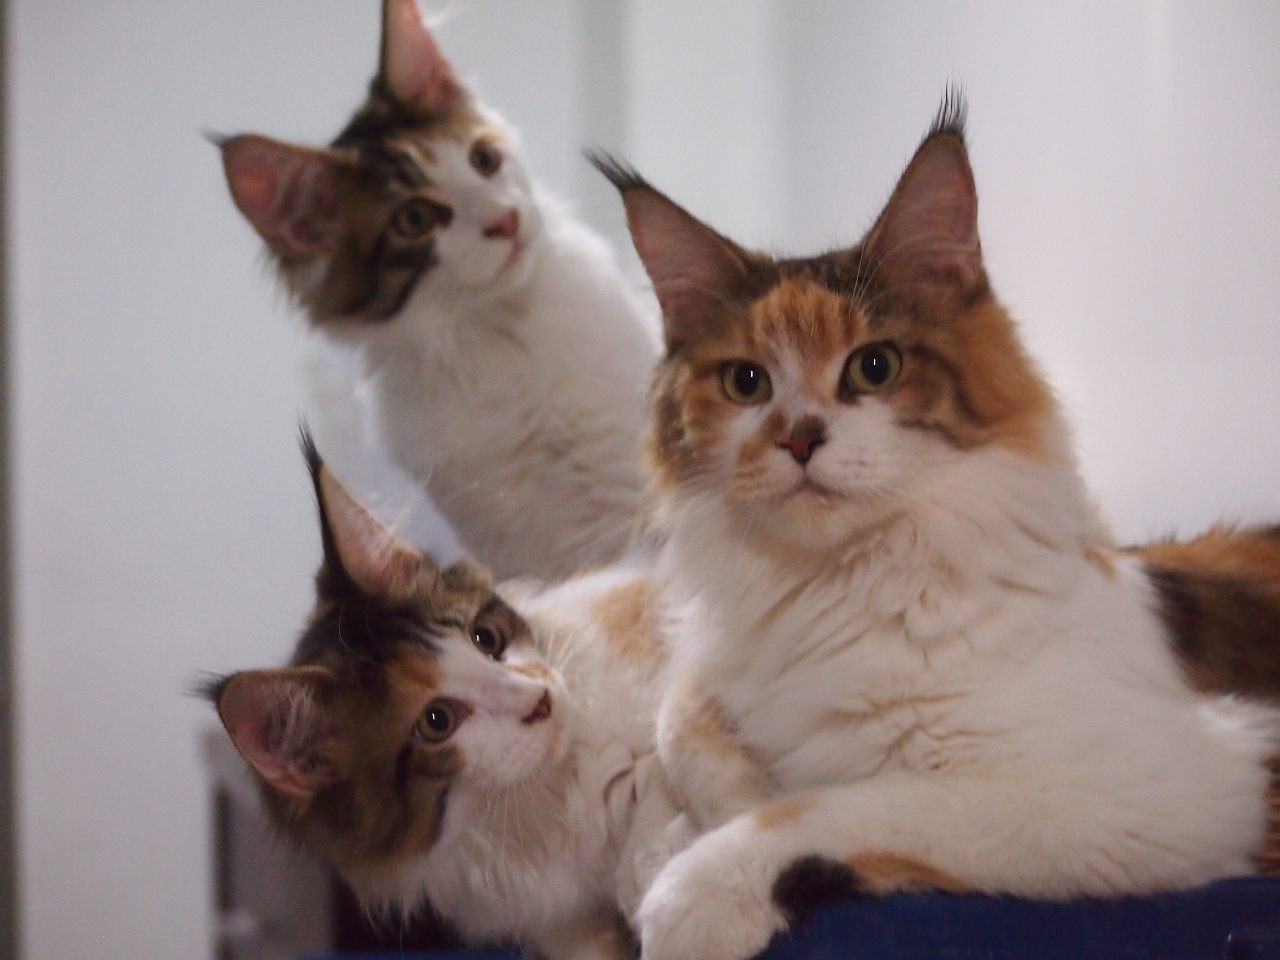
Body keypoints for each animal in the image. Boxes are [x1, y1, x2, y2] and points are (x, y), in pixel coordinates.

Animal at [207, 437, 691, 960]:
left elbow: (662, 750)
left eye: (486, 638)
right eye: (436, 721)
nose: (540, 700)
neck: (542, 795)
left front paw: (656, 873)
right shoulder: (561, 923)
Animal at [593, 91, 1280, 960]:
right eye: (746, 382)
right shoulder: (716, 675)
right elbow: (681, 725)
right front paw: (698, 818)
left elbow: (839, 805)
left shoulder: (1159, 790)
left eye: (874, 367)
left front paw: (692, 892)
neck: (837, 586)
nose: (799, 439)